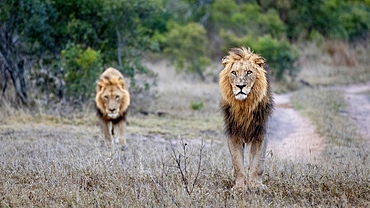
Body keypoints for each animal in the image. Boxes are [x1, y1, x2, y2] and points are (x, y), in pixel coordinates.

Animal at [218, 47, 274, 190]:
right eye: (233, 72)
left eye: (249, 72)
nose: (240, 86)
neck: (244, 105)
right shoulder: (234, 135)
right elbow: (237, 164)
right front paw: (239, 188)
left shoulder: (260, 134)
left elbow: (258, 165)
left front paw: (256, 186)